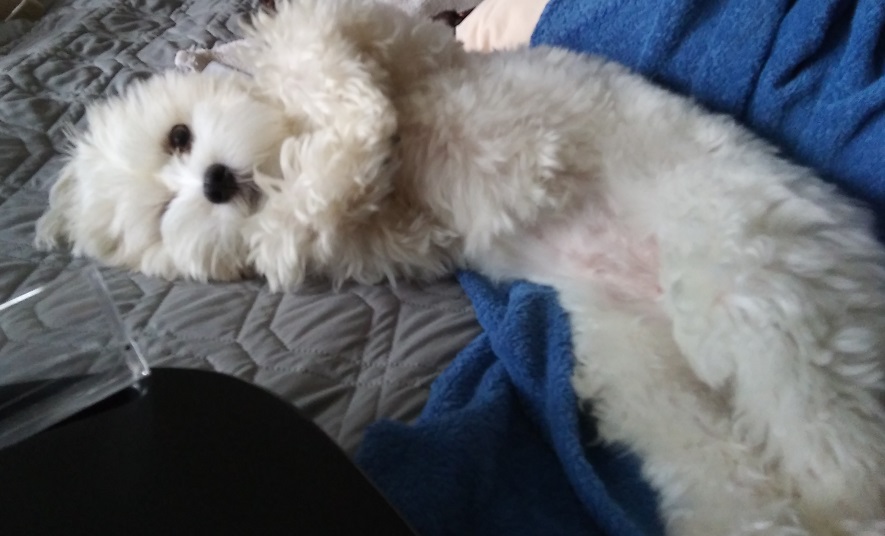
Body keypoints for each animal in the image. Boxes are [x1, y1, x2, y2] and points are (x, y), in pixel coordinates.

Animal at [32, 2, 884, 532]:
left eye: (177, 136)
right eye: (162, 212)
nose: (212, 182)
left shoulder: (375, 41)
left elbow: (326, 71)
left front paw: (289, 215)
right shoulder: (400, 231)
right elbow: (354, 198)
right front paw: (292, 223)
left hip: (746, 286)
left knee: (835, 450)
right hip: (649, 382)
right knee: (734, 476)